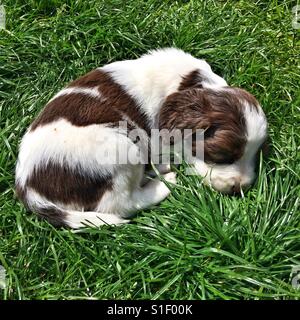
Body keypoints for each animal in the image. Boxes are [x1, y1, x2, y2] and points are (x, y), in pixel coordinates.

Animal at [14, 47, 268, 228]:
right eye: (221, 155)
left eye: (256, 154)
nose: (241, 187)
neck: (186, 84)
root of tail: (28, 187)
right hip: (121, 146)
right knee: (121, 204)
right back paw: (163, 183)